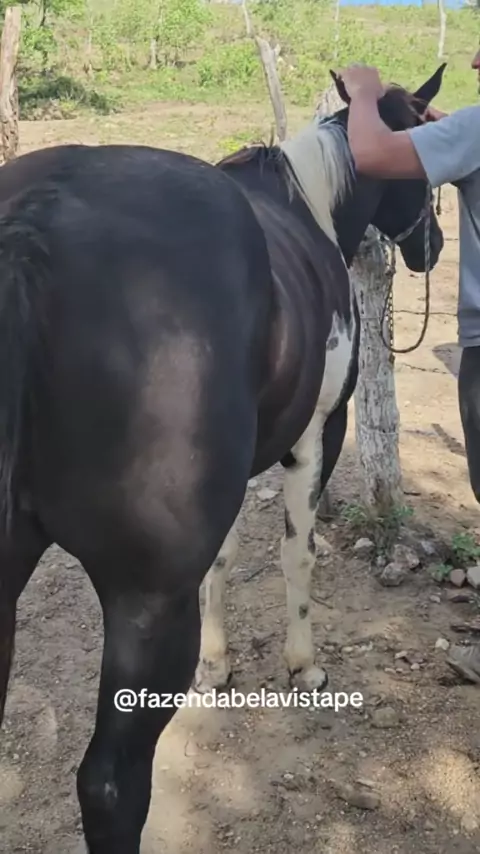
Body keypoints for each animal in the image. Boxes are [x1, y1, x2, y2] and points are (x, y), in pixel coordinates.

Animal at [0, 66, 445, 853]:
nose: (437, 245)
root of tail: (32, 225)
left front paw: (218, 661)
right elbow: (298, 554)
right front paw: (304, 666)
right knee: (110, 784)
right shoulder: (319, 435)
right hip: (146, 602)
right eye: (418, 161)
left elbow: (226, 560)